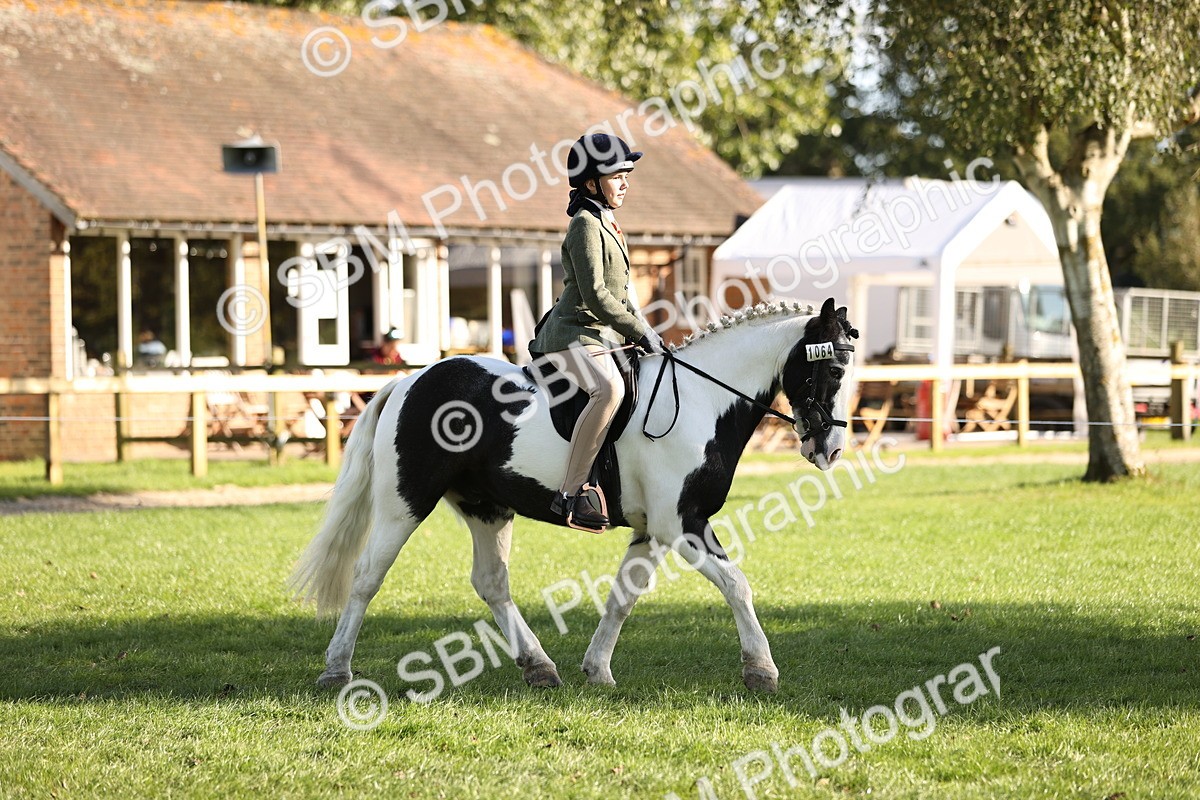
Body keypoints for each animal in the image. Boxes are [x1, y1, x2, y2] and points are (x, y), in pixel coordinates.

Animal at [290, 297, 857, 693]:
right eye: (832, 369)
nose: (830, 449)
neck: (702, 399)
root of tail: (410, 381)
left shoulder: (655, 531)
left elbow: (623, 597)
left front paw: (598, 670)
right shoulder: (683, 524)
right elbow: (737, 584)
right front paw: (762, 671)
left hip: (486, 507)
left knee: (491, 583)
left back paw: (539, 667)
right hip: (404, 502)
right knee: (367, 577)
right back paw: (336, 671)